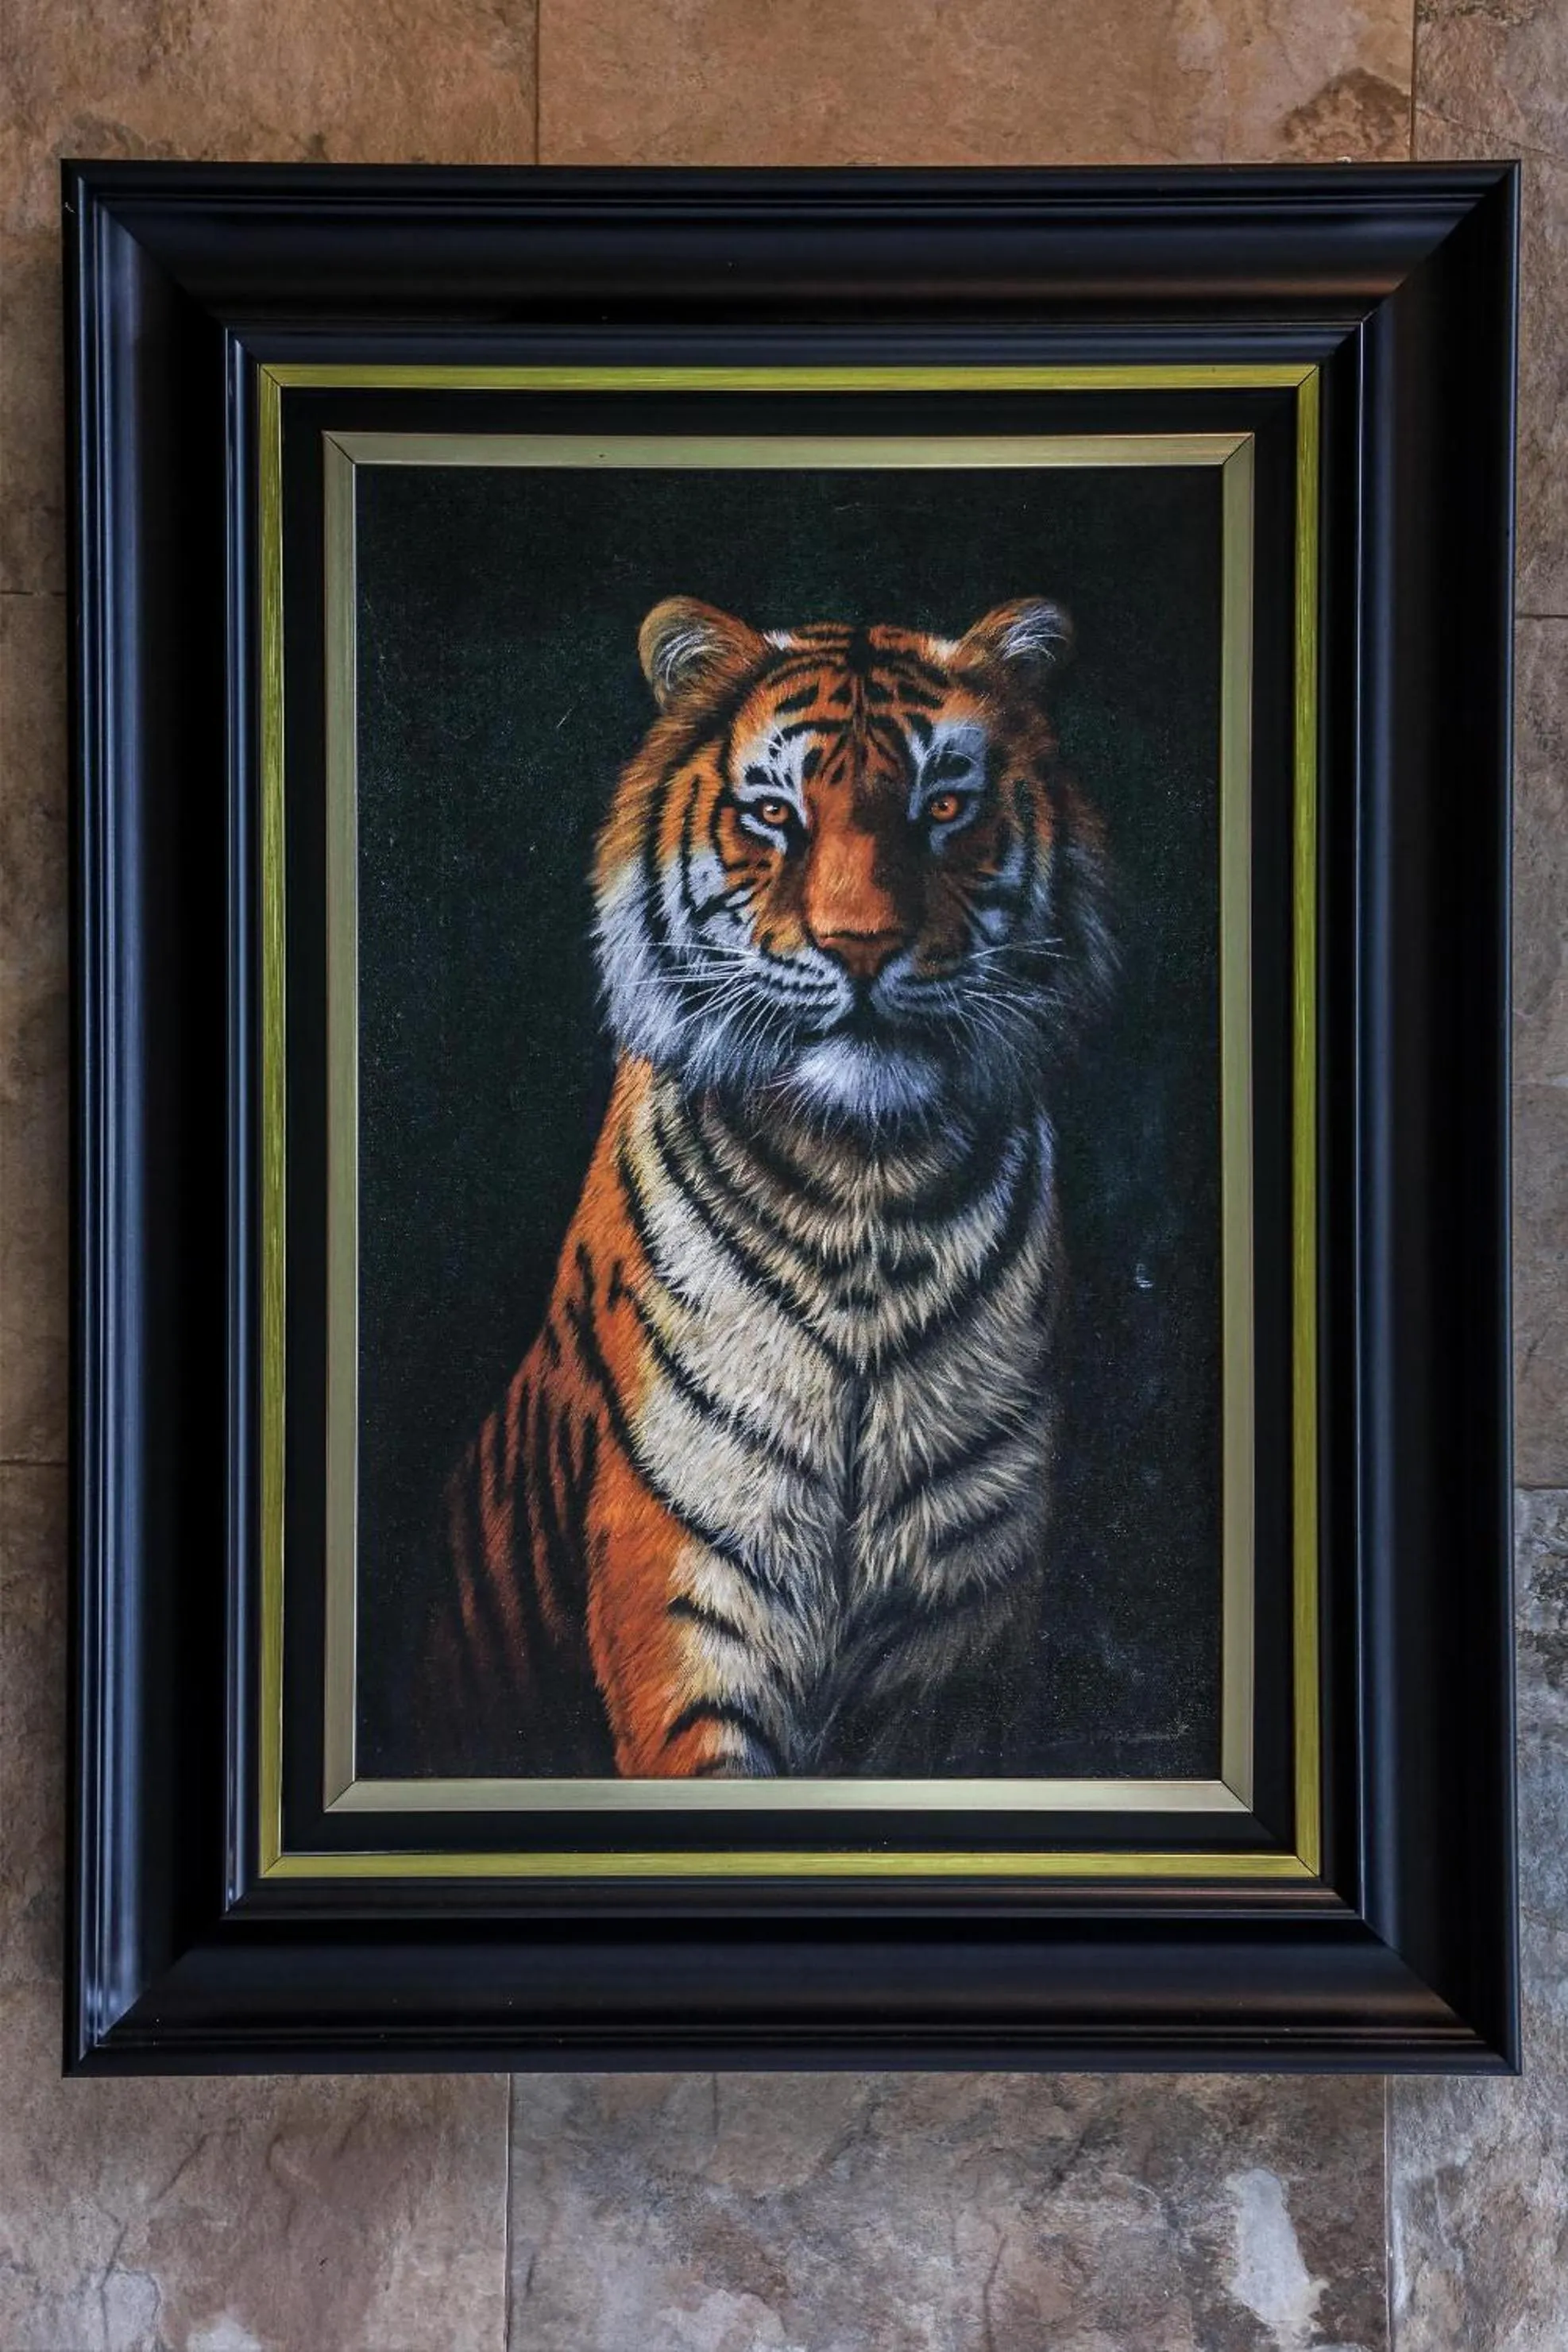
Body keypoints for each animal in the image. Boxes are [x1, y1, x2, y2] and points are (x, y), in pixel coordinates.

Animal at [425, 596, 1115, 1779]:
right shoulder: (686, 1581)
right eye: (774, 814)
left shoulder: (967, 1624)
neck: (871, 1188)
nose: (862, 946)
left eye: (944, 806)